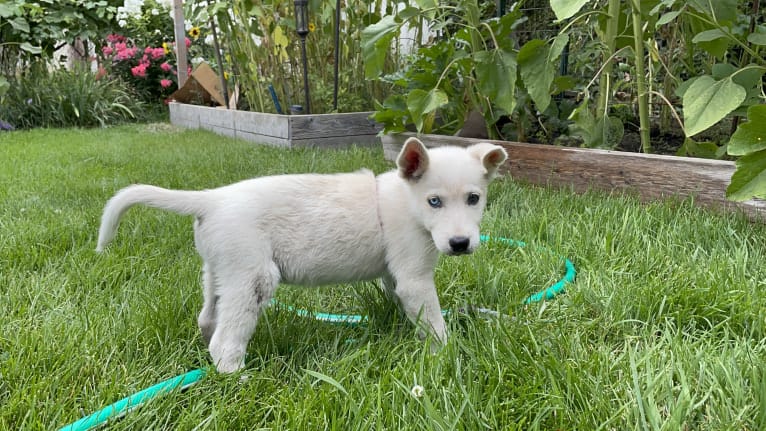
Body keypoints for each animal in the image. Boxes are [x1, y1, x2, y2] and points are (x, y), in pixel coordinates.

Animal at [96, 138, 510, 374]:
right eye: (434, 201)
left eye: (474, 199)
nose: (460, 243)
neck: (408, 202)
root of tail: (210, 199)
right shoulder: (414, 275)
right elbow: (434, 321)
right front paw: (447, 352)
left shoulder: (396, 275)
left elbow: (403, 302)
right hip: (253, 278)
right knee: (225, 341)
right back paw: (239, 377)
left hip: (219, 270)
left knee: (208, 318)